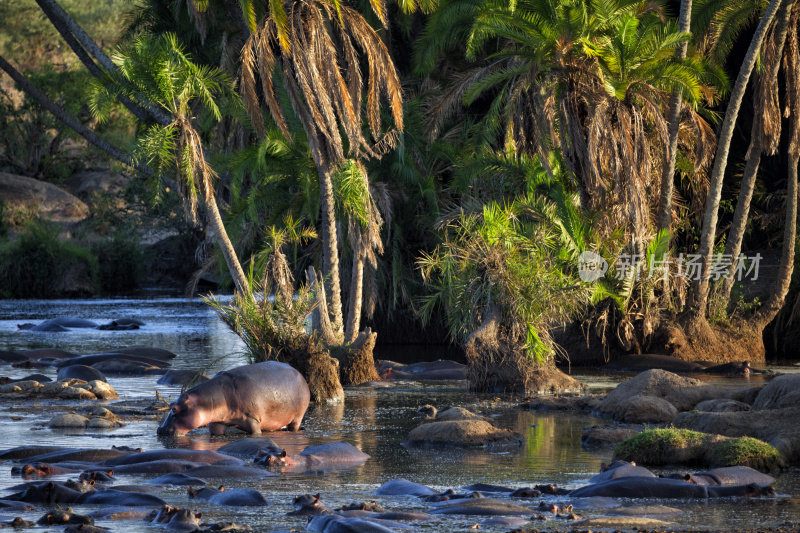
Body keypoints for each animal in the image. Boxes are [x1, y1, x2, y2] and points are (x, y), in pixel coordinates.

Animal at [155, 360, 310, 434]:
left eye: (174, 409)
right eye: (170, 405)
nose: (160, 430)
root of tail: (299, 373)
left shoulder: (252, 419)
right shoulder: (217, 422)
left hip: (297, 417)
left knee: (294, 426)